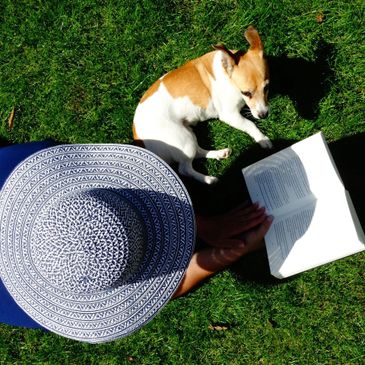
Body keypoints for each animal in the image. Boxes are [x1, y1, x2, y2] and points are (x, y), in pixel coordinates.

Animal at [133, 26, 270, 183]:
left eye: (267, 87)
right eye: (246, 93)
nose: (264, 115)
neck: (227, 75)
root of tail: (137, 136)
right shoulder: (230, 115)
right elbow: (250, 124)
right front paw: (262, 139)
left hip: (188, 134)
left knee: (197, 152)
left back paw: (219, 153)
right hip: (183, 140)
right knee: (185, 168)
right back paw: (209, 179)